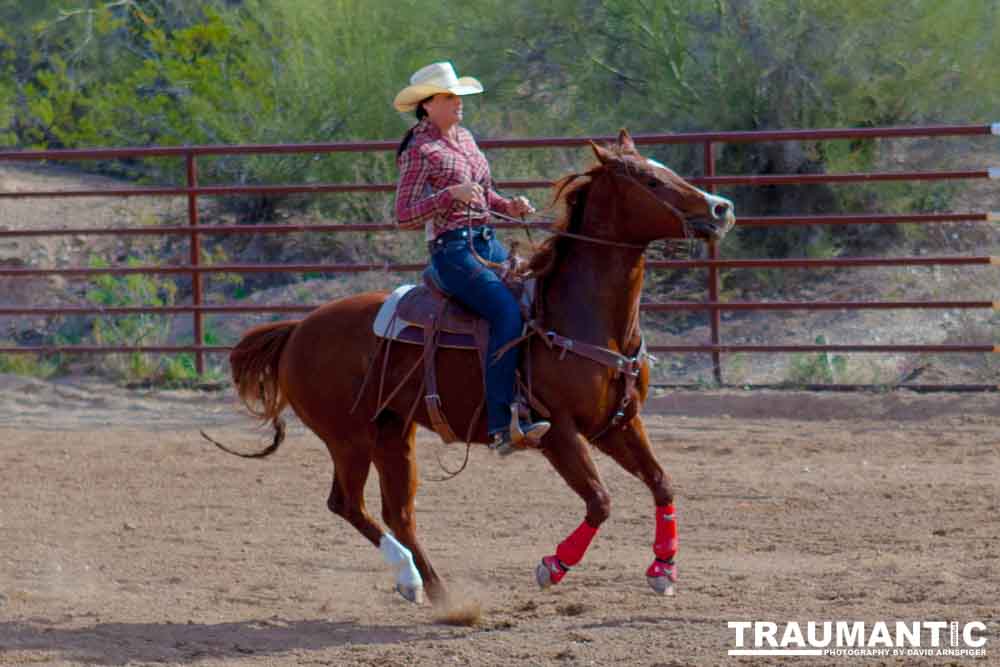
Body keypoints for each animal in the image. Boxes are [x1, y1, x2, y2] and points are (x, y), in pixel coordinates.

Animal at [215, 130, 736, 604]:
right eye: (650, 180)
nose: (721, 209)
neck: (580, 317)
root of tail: (299, 328)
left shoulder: (618, 422)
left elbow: (662, 483)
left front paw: (663, 568)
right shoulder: (558, 431)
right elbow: (600, 501)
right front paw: (553, 566)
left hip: (392, 431)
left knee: (398, 512)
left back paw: (437, 591)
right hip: (348, 437)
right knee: (348, 503)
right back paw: (411, 579)